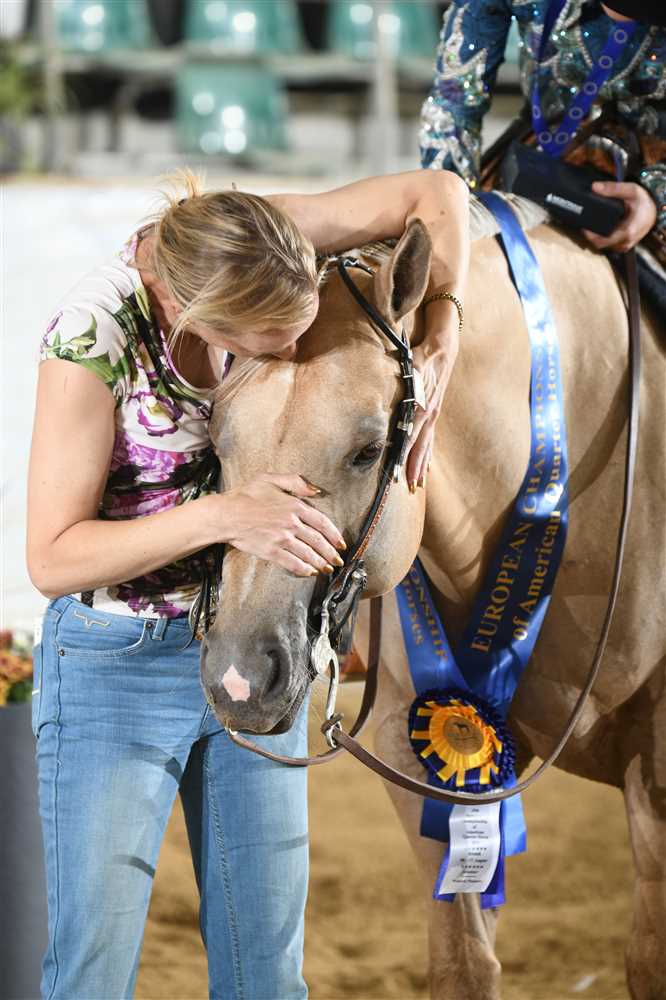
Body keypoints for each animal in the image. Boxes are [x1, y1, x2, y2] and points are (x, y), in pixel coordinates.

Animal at [202, 198, 665, 999]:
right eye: (221, 441)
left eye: (367, 449)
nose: (240, 676)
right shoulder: (410, 743)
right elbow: (463, 962)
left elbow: (648, 956)